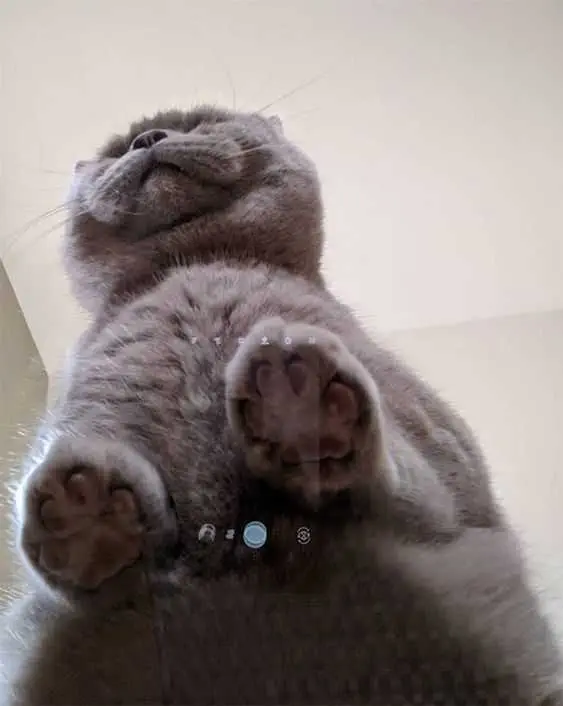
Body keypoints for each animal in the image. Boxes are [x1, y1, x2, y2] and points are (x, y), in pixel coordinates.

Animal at [1, 106, 563, 704]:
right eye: (116, 149)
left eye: (201, 122)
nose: (149, 138)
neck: (197, 269)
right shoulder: (80, 418)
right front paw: (86, 519)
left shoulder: (445, 450)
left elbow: (413, 478)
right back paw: (89, 513)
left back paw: (298, 403)